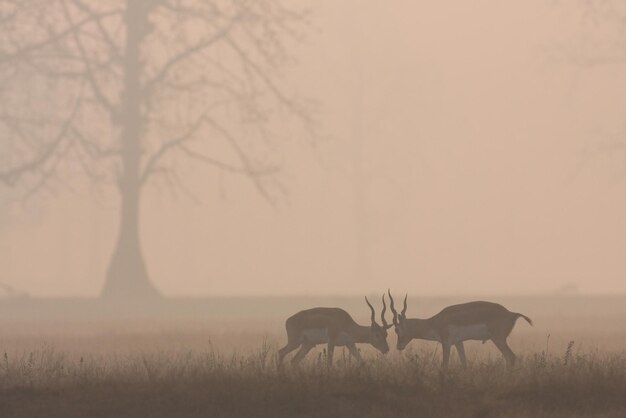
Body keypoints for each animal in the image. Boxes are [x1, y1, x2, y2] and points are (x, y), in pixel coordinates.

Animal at [388, 290, 528, 370]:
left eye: (396, 329)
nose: (399, 346)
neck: (435, 322)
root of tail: (512, 314)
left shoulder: (446, 343)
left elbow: (444, 365)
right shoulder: (458, 342)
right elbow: (464, 364)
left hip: (498, 339)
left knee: (511, 357)